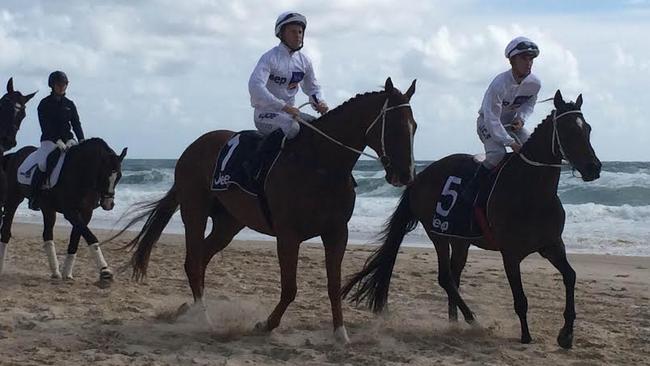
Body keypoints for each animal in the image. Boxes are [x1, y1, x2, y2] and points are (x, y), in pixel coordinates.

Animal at [0, 137, 126, 286]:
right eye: (103, 175)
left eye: (119, 176)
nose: (108, 204)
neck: (81, 172)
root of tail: (15, 154)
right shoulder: (70, 212)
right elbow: (90, 236)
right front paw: (105, 271)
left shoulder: (86, 213)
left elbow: (75, 239)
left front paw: (67, 273)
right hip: (13, 199)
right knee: (6, 231)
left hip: (47, 208)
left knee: (47, 235)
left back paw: (56, 272)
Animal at [342, 89, 600, 348]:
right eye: (567, 130)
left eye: (587, 128)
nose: (594, 168)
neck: (532, 192)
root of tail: (419, 177)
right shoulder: (510, 254)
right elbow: (520, 298)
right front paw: (526, 336)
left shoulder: (552, 245)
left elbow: (570, 276)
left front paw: (566, 334)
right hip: (438, 233)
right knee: (446, 278)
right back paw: (472, 320)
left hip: (460, 239)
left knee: (454, 277)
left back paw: (454, 322)